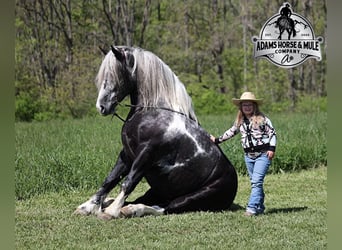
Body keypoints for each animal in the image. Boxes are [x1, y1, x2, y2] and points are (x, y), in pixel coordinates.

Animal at [74, 46, 238, 220]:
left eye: (115, 74)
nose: (101, 106)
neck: (153, 112)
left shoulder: (146, 154)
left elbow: (129, 181)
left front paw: (111, 212)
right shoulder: (127, 154)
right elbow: (110, 180)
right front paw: (87, 207)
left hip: (193, 197)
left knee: (164, 208)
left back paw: (129, 210)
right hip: (157, 190)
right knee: (148, 201)